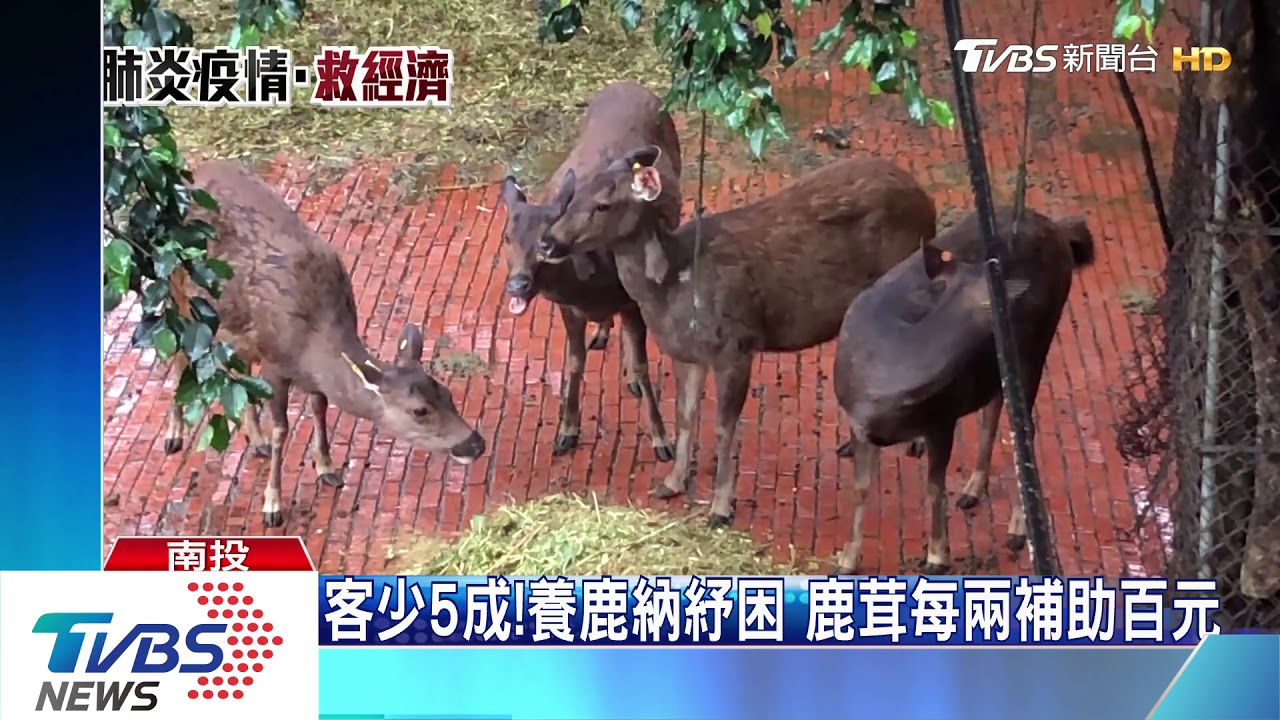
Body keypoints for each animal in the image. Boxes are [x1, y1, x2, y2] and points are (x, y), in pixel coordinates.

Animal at [162, 159, 487, 529]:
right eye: (419, 410)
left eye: (447, 394)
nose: (475, 444)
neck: (313, 341)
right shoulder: (275, 363)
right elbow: (282, 430)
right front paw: (272, 504)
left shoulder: (301, 371)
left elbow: (320, 407)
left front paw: (327, 467)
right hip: (176, 288)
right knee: (177, 351)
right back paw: (174, 435)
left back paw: (254, 439)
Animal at [497, 81, 676, 461]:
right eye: (506, 237)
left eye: (545, 232)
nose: (518, 285)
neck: (591, 285)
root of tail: (629, 83)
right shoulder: (569, 309)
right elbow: (574, 362)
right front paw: (567, 431)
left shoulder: (630, 301)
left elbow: (643, 366)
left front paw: (661, 439)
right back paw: (602, 333)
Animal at [538, 146, 936, 528]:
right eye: (574, 194)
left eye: (603, 204)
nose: (547, 242)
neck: (674, 284)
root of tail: (927, 203)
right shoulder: (688, 354)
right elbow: (685, 414)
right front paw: (672, 482)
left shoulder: (736, 345)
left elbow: (723, 428)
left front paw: (720, 508)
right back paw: (853, 446)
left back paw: (918, 444)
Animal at [834, 206, 1095, 574]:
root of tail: (1055, 228)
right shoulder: (858, 422)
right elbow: (860, 488)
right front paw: (847, 558)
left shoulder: (942, 417)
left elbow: (934, 488)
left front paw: (936, 556)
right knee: (993, 413)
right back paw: (974, 487)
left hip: (1035, 350)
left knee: (1023, 430)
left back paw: (1017, 528)